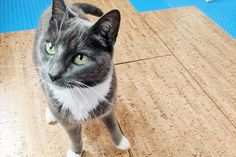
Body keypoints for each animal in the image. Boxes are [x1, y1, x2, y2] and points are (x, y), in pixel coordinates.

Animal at [32, 0, 130, 156]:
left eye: (80, 58)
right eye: (50, 47)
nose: (53, 74)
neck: (79, 91)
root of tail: (71, 5)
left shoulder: (108, 101)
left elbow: (112, 123)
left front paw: (121, 142)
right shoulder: (67, 121)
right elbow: (74, 136)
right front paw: (75, 151)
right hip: (37, 65)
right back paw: (50, 113)